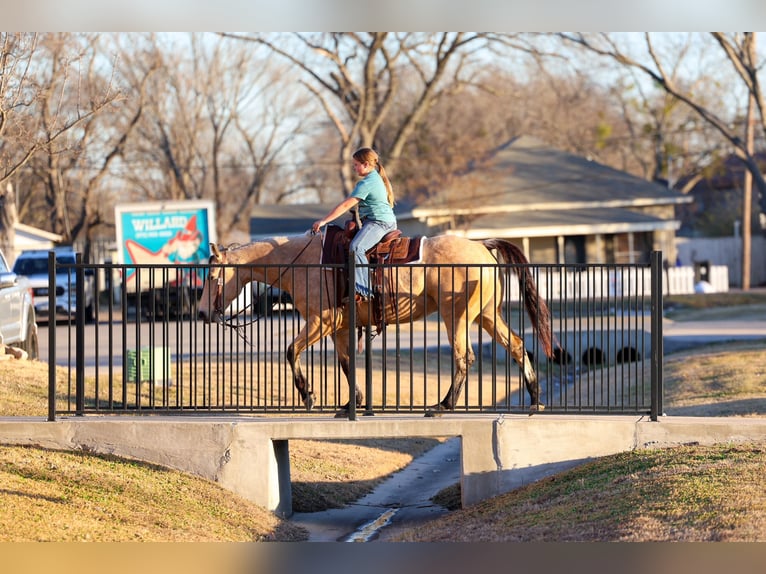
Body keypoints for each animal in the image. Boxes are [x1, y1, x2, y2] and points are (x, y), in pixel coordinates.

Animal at [197, 231, 554, 414]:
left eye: (213, 277)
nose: (201, 313)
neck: (305, 262)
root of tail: (481, 246)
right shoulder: (339, 328)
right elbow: (345, 363)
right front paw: (350, 404)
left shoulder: (320, 321)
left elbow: (290, 351)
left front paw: (308, 395)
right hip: (487, 315)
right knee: (517, 345)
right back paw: (536, 398)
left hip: (457, 316)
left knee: (464, 357)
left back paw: (444, 404)